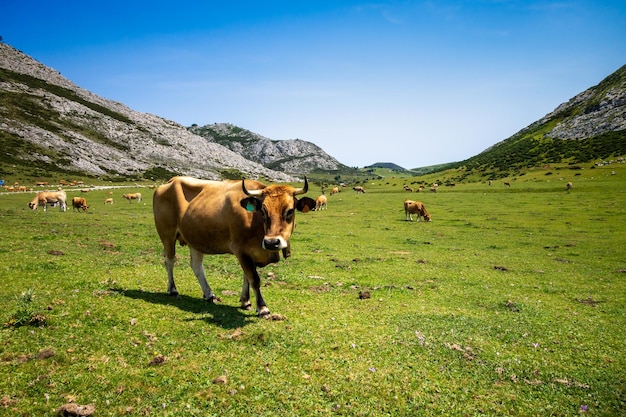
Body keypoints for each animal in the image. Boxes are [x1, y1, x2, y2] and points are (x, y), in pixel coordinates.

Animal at [150, 176, 308, 316]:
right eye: (263, 211)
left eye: (290, 211)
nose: (271, 242)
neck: (254, 221)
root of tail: (171, 181)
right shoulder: (241, 249)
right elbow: (254, 278)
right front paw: (262, 308)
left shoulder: (249, 253)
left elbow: (247, 276)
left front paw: (245, 301)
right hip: (167, 235)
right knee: (169, 261)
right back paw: (173, 289)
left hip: (195, 238)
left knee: (196, 266)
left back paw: (209, 294)